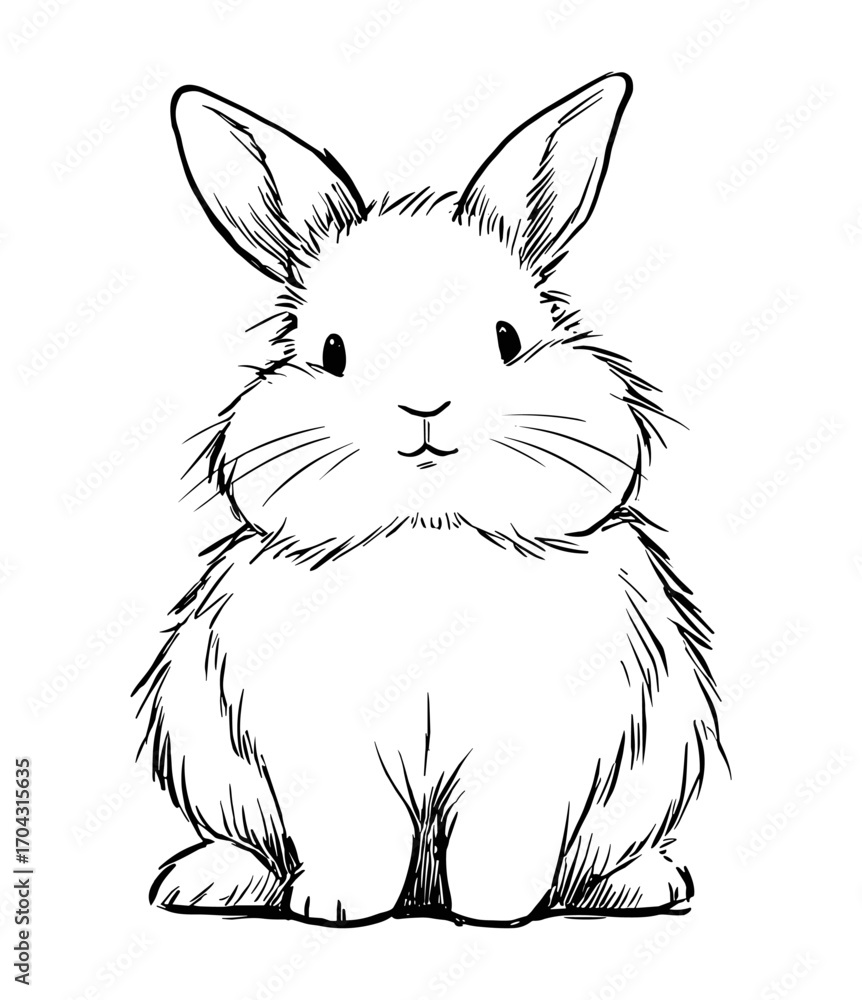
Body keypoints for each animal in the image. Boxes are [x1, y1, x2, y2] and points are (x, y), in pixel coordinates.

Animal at [134, 72, 727, 927]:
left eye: (509, 339)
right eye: (333, 352)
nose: (424, 407)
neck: (429, 530)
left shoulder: (538, 747)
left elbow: (504, 829)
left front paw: (496, 909)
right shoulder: (321, 746)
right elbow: (349, 828)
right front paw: (337, 906)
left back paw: (641, 885)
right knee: (250, 845)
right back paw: (205, 881)